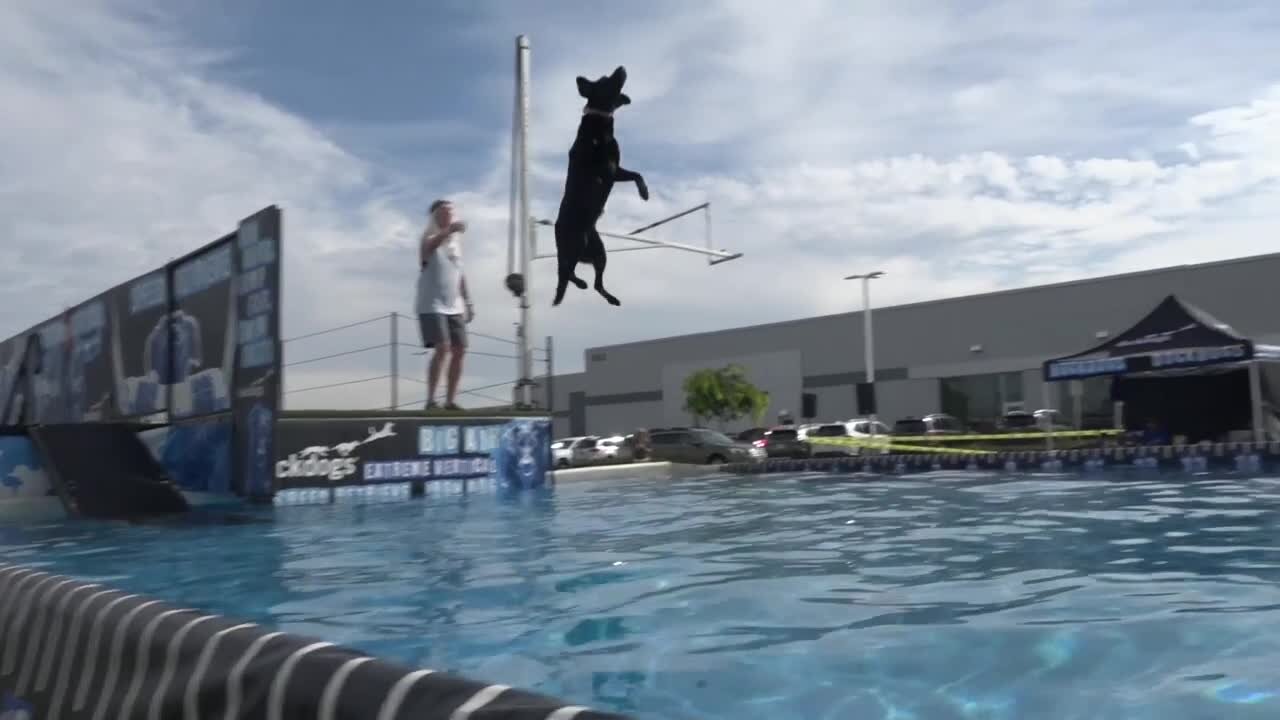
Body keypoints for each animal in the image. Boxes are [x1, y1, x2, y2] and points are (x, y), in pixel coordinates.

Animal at [552, 63, 650, 304]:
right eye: (606, 80)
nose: (621, 67)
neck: (599, 119)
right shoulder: (609, 171)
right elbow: (633, 174)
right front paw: (644, 193)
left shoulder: (617, 168)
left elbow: (638, 174)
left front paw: (644, 193)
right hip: (575, 243)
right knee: (565, 272)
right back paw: (580, 283)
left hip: (599, 252)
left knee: (593, 282)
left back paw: (609, 297)